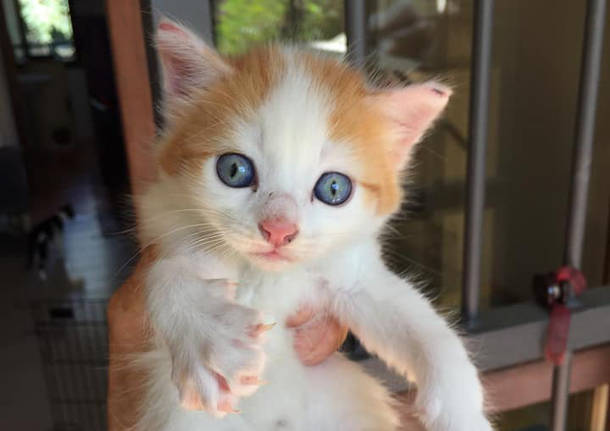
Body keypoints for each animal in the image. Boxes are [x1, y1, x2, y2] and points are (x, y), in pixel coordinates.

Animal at [135, 19, 492, 431]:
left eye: (333, 188)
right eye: (234, 170)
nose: (279, 230)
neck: (270, 278)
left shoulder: (352, 275)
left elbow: (421, 322)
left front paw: (462, 408)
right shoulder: (168, 227)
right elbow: (166, 273)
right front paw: (211, 341)